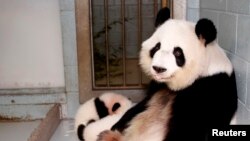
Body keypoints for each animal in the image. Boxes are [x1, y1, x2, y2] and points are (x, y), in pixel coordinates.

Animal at [96, 7, 237, 141]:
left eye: (178, 52)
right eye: (157, 47)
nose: (158, 69)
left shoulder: (210, 89)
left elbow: (188, 130)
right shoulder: (157, 86)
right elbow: (139, 106)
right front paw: (116, 125)